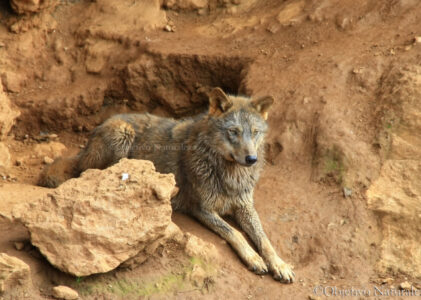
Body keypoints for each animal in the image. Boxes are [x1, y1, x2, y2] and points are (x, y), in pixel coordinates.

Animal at [39, 87, 296, 284]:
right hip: (122, 134)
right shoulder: (201, 209)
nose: (251, 159)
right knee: (90, 173)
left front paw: (280, 264)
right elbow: (235, 233)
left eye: (255, 132)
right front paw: (254, 259)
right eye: (234, 132)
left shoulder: (244, 206)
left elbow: (264, 238)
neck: (229, 174)